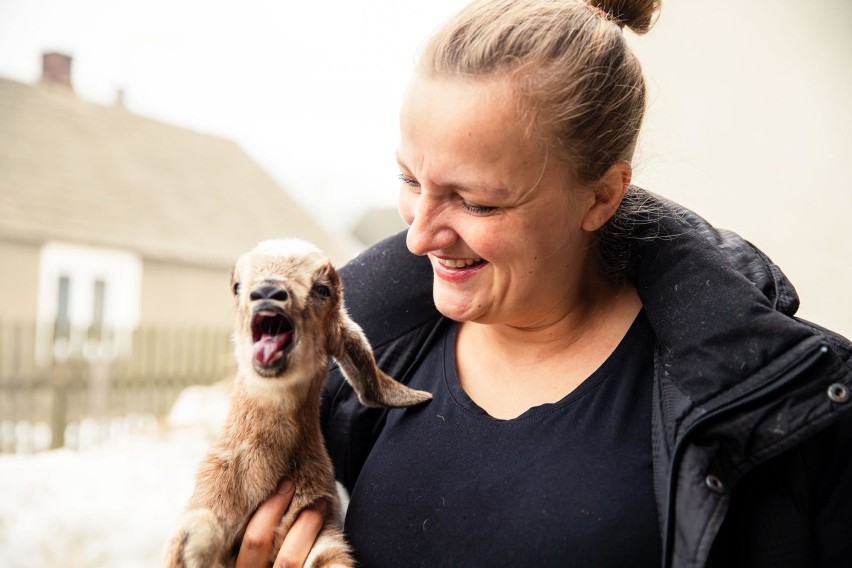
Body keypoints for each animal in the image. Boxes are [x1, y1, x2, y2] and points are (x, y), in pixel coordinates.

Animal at [166, 240, 432, 568]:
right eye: (237, 286)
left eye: (322, 289)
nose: (268, 291)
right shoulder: (213, 494)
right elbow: (198, 525)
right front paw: (192, 549)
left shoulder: (325, 527)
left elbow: (329, 559)